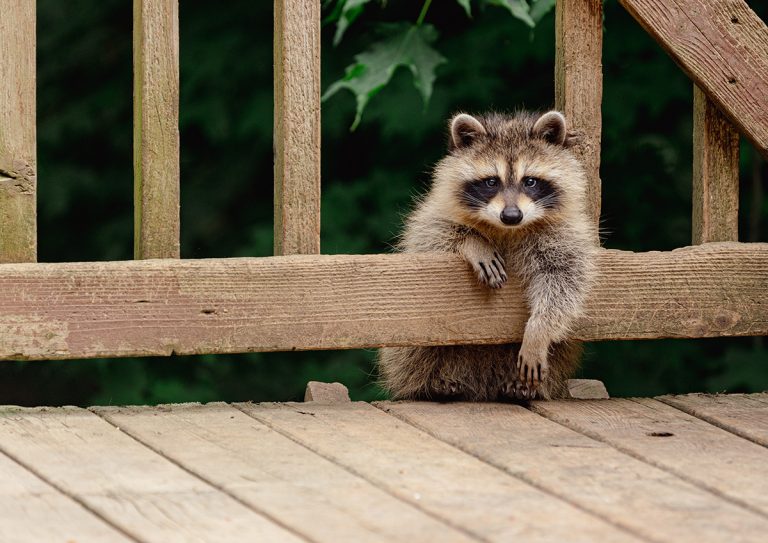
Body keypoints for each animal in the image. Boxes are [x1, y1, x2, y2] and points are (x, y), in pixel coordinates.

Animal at [378, 110, 597, 401]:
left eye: (530, 181)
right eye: (492, 182)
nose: (511, 215)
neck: (508, 230)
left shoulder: (564, 233)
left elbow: (565, 279)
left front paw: (539, 330)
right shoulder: (432, 218)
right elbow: (431, 237)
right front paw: (473, 242)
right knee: (413, 352)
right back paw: (431, 383)